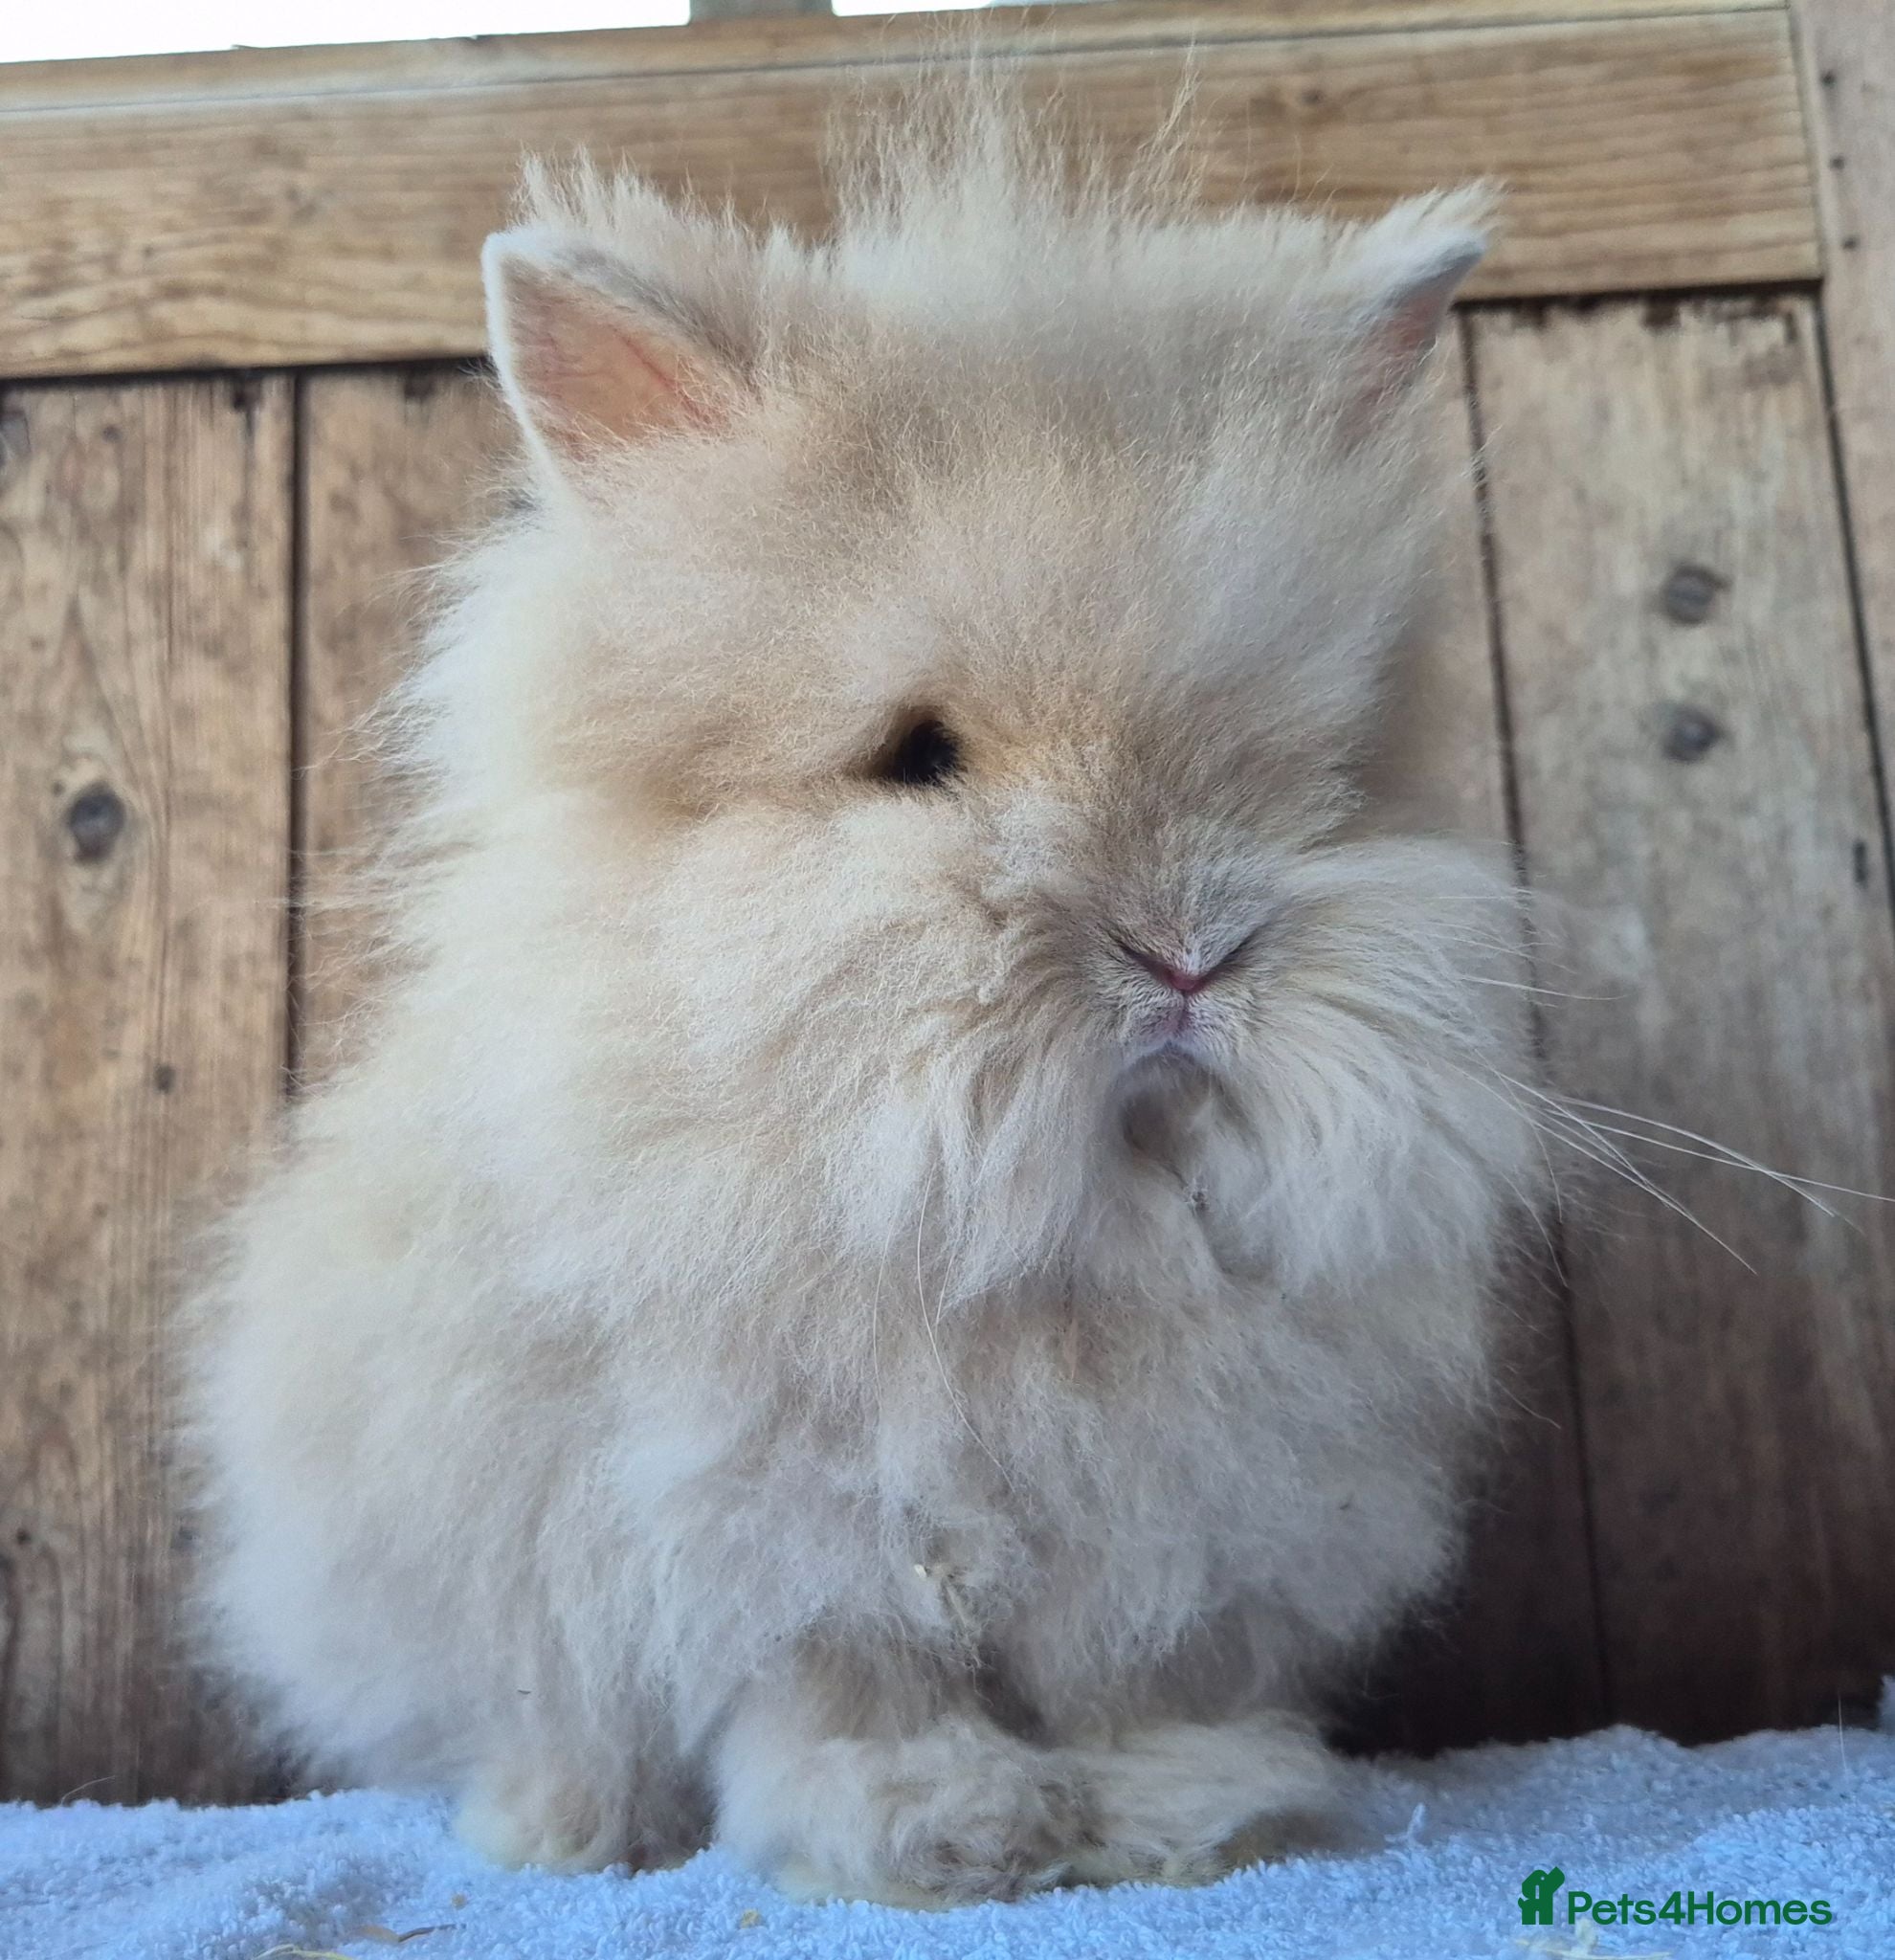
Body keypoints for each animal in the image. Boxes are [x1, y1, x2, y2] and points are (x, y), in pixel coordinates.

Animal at [185, 83, 1544, 1906]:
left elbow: (1135, 1686)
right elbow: (850, 1680)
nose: (1189, 953)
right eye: (917, 757)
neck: (1041, 1247)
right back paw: (563, 1830)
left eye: (1315, 770)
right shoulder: (770, 1516)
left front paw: (1195, 1819)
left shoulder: (1180, 1534)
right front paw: (933, 1836)